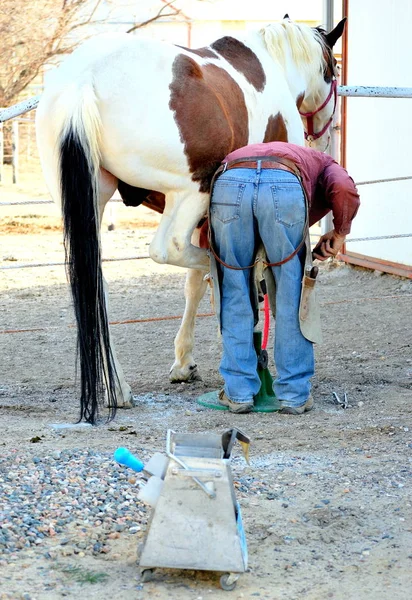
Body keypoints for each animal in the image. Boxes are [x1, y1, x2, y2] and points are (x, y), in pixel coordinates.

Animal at [35, 17, 346, 422]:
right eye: (333, 69)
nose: (325, 136)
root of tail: (84, 80)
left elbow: (192, 286)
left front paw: (183, 362)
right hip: (188, 191)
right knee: (170, 249)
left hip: (93, 197)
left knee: (95, 281)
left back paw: (117, 388)